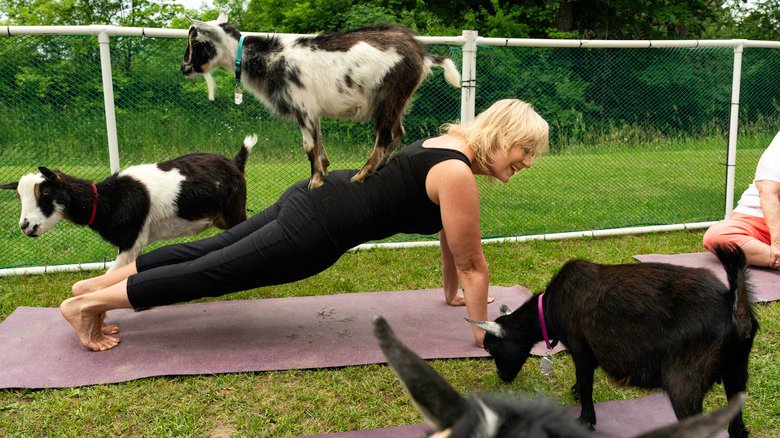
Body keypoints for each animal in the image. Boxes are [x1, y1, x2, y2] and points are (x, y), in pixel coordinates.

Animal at [0, 137, 256, 272]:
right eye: (19, 197)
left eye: (45, 192)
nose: (26, 226)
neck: (107, 201)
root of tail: (236, 161)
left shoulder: (131, 241)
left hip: (235, 211)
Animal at [181, 11, 464, 188]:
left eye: (198, 42)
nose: (184, 68)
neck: (272, 60)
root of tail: (420, 53)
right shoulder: (311, 111)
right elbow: (319, 141)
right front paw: (325, 169)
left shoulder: (302, 106)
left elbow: (308, 146)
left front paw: (315, 181)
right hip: (398, 101)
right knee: (397, 132)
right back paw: (379, 166)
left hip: (390, 95)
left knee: (385, 135)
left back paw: (362, 174)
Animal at [470, 245, 756, 436]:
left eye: (491, 349)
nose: (502, 377)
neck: (550, 306)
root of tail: (731, 304)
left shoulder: (581, 349)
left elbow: (586, 384)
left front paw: (585, 419)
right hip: (736, 372)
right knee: (737, 428)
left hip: (684, 382)